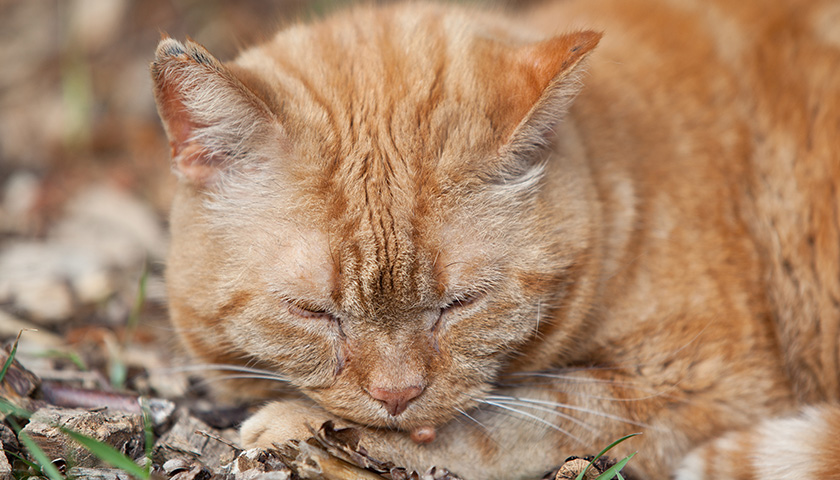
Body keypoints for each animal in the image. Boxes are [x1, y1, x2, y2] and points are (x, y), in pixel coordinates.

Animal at [149, 1, 840, 478]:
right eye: (311, 312)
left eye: (462, 304)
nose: (397, 395)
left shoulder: (714, 385)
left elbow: (512, 420)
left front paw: (303, 432)